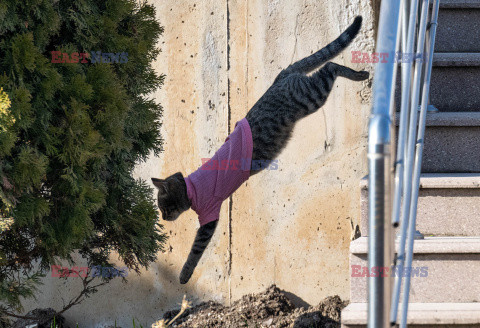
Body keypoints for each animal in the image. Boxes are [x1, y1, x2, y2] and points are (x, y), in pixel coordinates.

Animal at [152, 15, 370, 284]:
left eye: (163, 207)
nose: (163, 218)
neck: (190, 188)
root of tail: (280, 77)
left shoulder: (210, 217)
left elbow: (195, 250)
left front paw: (184, 274)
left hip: (311, 96)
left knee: (330, 65)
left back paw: (359, 74)